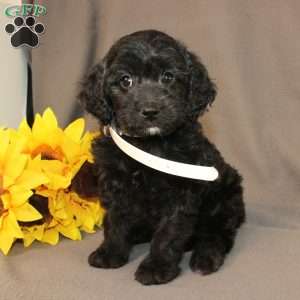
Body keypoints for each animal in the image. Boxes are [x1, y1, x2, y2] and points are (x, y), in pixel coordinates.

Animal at [78, 30, 245, 286]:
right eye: (125, 80)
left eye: (168, 77)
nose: (150, 111)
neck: (151, 144)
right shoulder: (115, 181)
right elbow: (115, 219)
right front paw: (110, 252)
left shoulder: (182, 192)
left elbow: (169, 232)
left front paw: (156, 267)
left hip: (224, 199)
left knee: (217, 234)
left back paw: (205, 259)